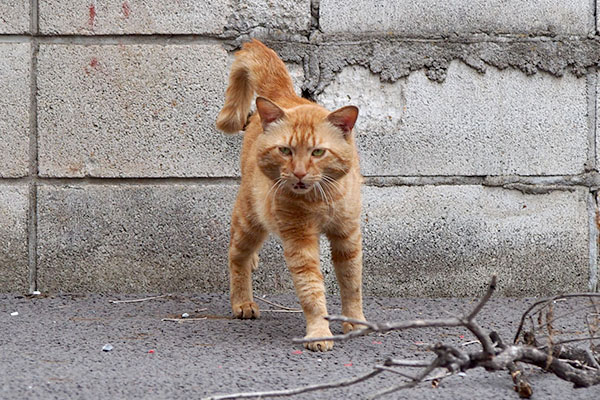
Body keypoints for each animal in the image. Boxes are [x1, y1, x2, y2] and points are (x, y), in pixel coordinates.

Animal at [216, 39, 366, 350]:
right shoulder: (300, 240)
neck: (321, 198)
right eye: (285, 150)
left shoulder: (347, 236)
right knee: (236, 256)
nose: (298, 173)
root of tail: (285, 95)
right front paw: (319, 332)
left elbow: (351, 283)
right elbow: (311, 289)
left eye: (318, 152)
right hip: (249, 220)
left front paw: (355, 322)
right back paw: (242, 302)